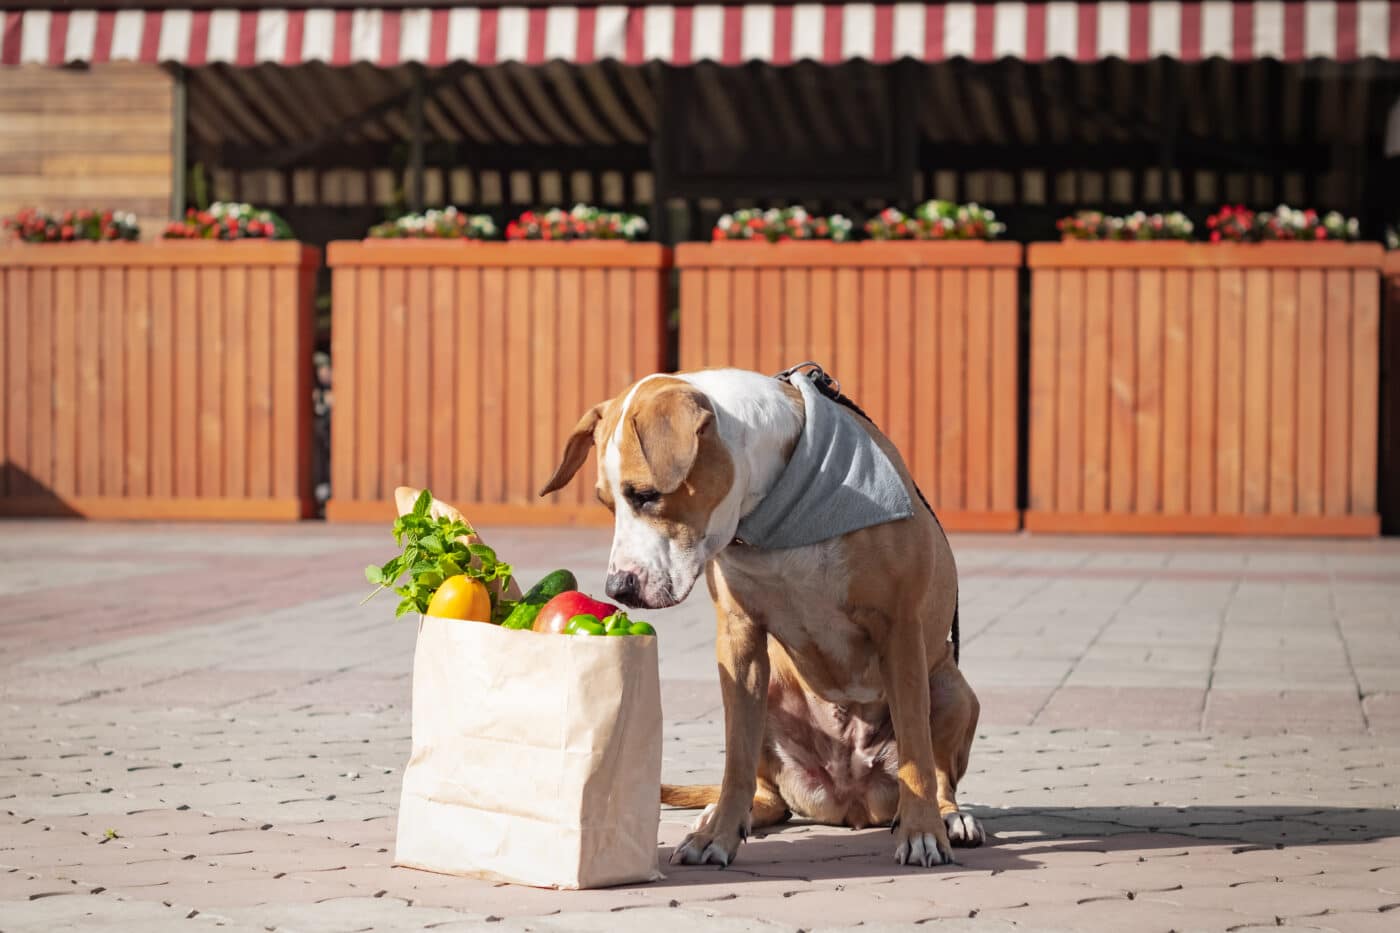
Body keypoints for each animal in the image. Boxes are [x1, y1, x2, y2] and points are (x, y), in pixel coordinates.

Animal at [537, 364, 985, 862]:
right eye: (607, 503)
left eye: (647, 495)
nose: (618, 587)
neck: (773, 516)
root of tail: (851, 802)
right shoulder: (740, 640)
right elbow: (737, 757)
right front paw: (717, 836)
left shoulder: (899, 629)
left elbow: (916, 754)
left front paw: (922, 832)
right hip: (770, 691)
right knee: (765, 788)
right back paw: (721, 816)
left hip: (950, 686)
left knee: (937, 768)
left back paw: (948, 817)